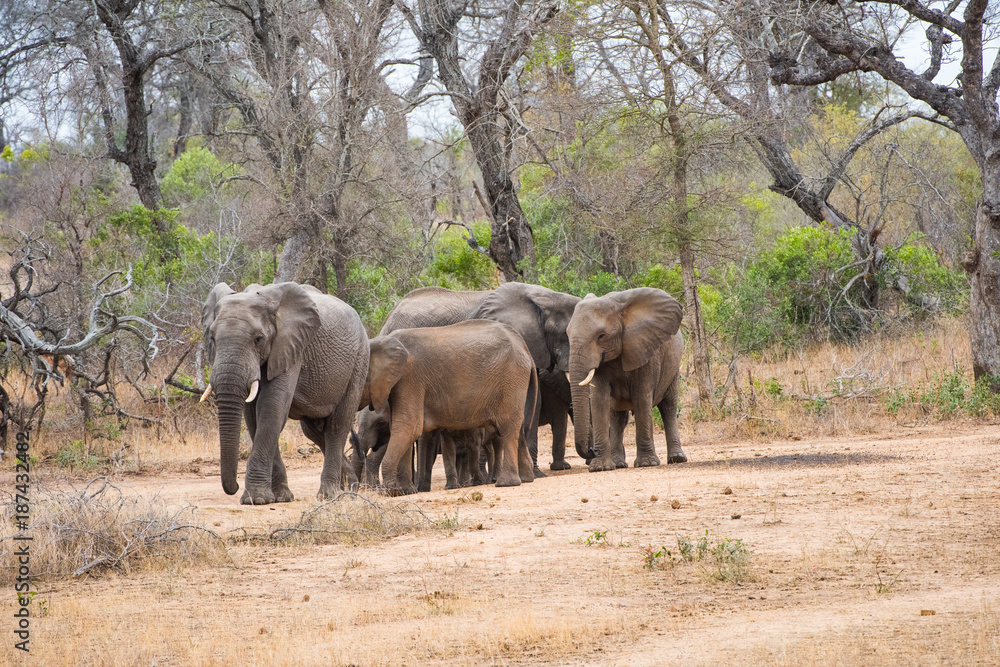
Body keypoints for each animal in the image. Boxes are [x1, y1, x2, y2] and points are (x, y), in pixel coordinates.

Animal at [201, 282, 370, 506]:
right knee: (315, 431)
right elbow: (253, 416)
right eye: (211, 338)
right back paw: (350, 490)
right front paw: (281, 497)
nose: (234, 487)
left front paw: (256, 499)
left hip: (359, 361)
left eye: (258, 339)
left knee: (337, 426)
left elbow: (272, 407)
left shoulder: (292, 347)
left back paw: (330, 495)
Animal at [364, 318, 540, 496]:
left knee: (507, 427)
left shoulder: (409, 379)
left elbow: (408, 426)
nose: (420, 489)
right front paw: (407, 491)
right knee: (518, 428)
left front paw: (392, 492)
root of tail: (525, 348)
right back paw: (526, 479)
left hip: (511, 378)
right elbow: (402, 428)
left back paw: (505, 483)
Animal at [572, 290, 688, 472]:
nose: (591, 450)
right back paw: (618, 464)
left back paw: (677, 458)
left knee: (668, 407)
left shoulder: (646, 351)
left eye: (601, 336)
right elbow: (599, 400)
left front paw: (647, 464)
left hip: (674, 368)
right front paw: (600, 468)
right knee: (617, 417)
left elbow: (642, 397)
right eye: (567, 334)